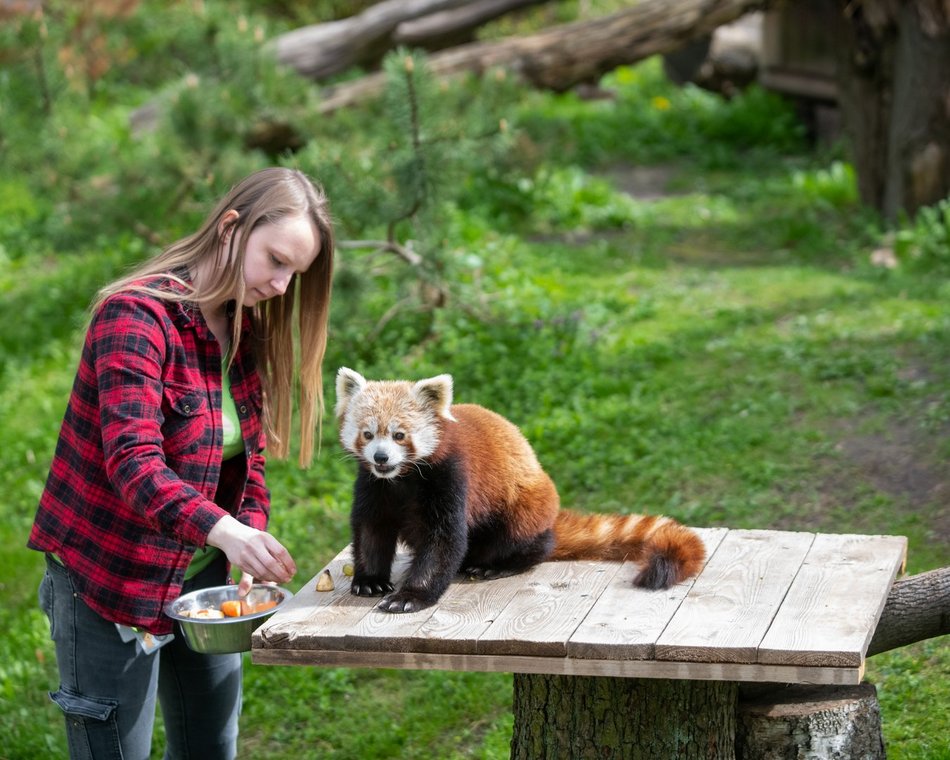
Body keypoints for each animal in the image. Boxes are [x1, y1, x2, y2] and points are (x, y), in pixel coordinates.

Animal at [334, 366, 708, 612]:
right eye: (368, 434)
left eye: (399, 435)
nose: (381, 457)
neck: (402, 479)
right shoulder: (374, 486)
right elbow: (371, 529)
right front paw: (370, 580)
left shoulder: (449, 478)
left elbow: (442, 541)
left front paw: (409, 596)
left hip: (523, 506)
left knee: (524, 539)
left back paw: (496, 564)